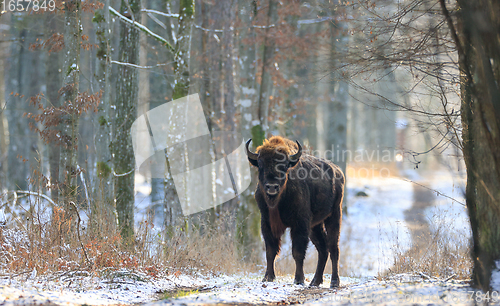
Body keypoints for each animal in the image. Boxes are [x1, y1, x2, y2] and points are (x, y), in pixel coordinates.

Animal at [245, 136, 344, 286]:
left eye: (285, 165)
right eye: (260, 164)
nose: (272, 187)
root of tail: (337, 171)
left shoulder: (300, 224)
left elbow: (297, 252)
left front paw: (299, 279)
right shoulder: (266, 224)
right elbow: (270, 251)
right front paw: (268, 277)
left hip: (334, 216)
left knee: (333, 248)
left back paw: (334, 281)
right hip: (315, 226)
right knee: (323, 248)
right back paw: (315, 281)